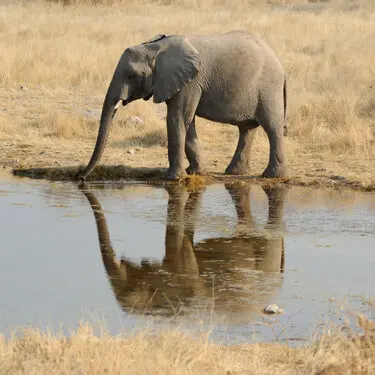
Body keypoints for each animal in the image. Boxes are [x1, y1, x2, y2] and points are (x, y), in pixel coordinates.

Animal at [78, 31, 288, 181]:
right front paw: (195, 173)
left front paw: (172, 178)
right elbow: (187, 121)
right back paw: (234, 173)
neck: (154, 48)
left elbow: (176, 118)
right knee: (247, 129)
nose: (81, 178)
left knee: (272, 127)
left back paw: (272, 176)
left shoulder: (190, 82)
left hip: (268, 88)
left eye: (131, 76)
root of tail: (280, 63)